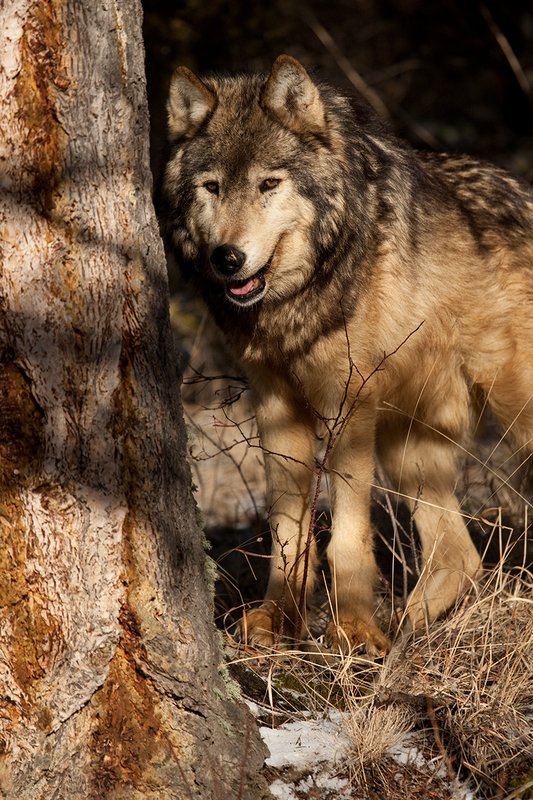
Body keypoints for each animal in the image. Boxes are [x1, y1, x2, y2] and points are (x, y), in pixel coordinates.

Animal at [160, 55, 533, 655]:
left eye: (269, 184)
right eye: (211, 187)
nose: (227, 258)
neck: (298, 301)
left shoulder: (348, 404)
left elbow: (348, 536)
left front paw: (353, 631)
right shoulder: (276, 405)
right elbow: (290, 530)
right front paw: (277, 621)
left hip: (504, 414)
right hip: (411, 446)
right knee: (459, 557)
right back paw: (407, 633)